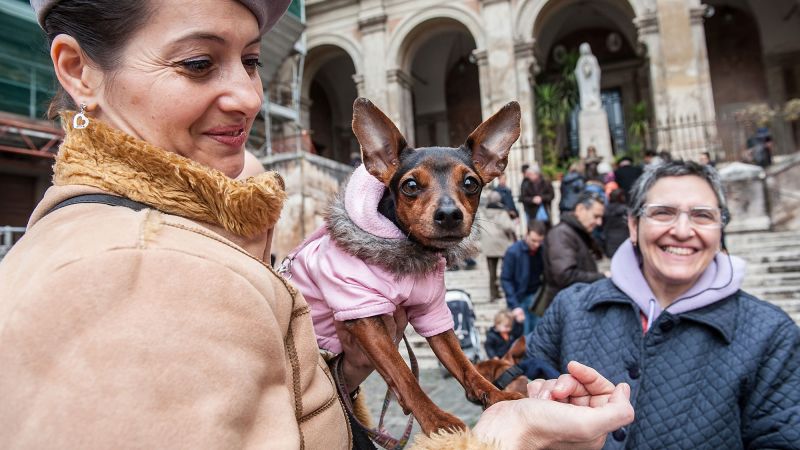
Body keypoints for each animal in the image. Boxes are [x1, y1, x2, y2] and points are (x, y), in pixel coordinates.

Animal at [282, 96, 524, 434]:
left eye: (470, 183)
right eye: (410, 186)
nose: (449, 214)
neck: (409, 253)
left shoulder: (433, 313)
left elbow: (462, 363)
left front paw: (496, 395)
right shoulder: (363, 313)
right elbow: (404, 374)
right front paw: (436, 419)